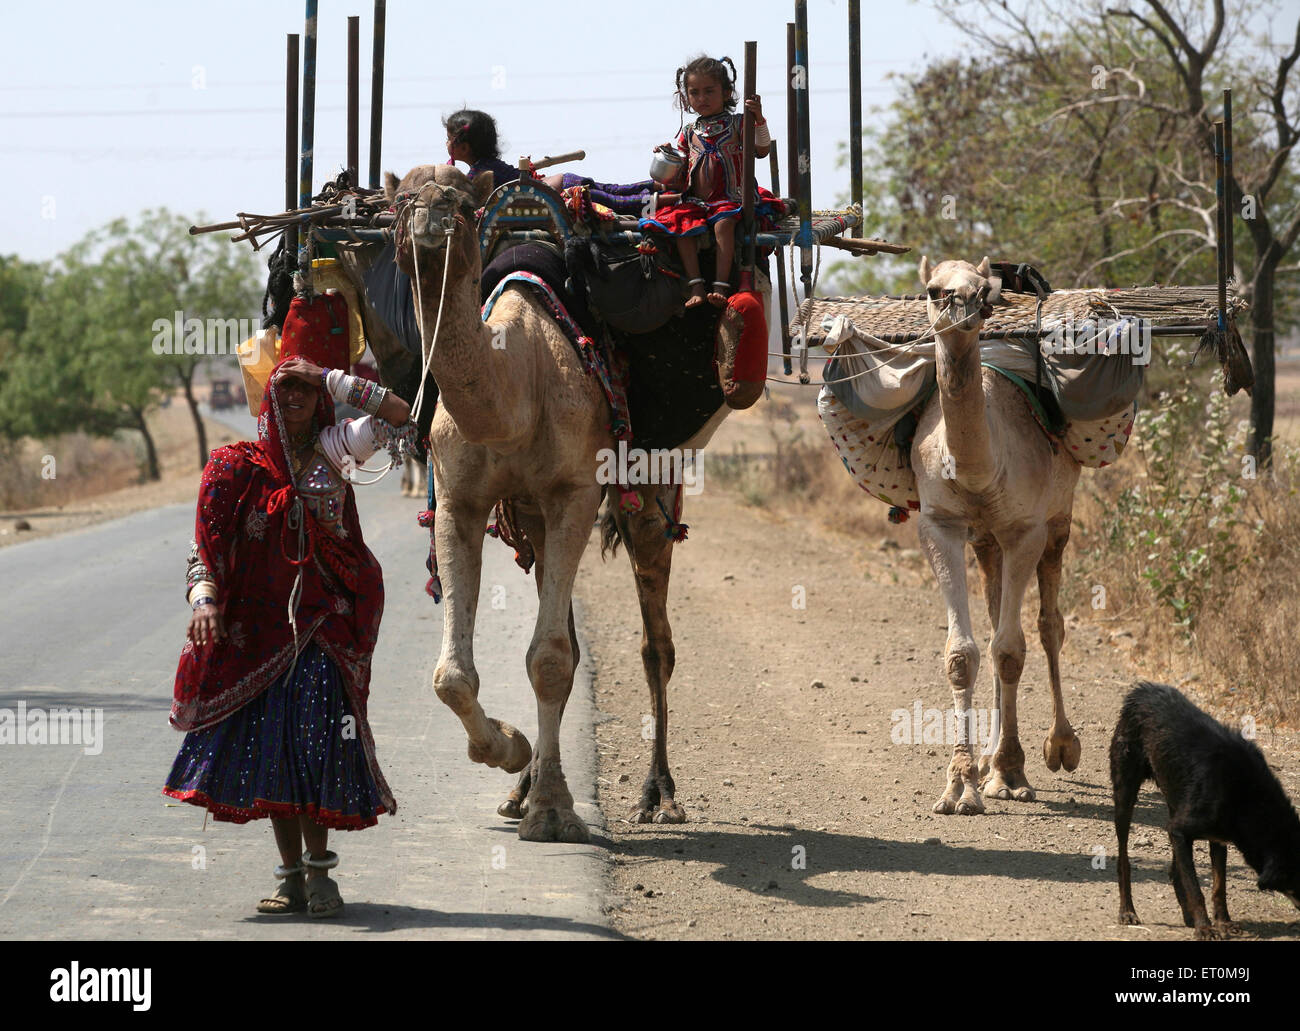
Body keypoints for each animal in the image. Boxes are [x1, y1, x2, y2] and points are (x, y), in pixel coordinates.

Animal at [339, 163, 749, 840]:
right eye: (403, 199)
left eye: (460, 201)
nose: (429, 218)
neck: (516, 384)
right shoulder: (460, 499)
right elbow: (454, 674)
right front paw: (511, 751)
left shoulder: (573, 494)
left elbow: (552, 660)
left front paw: (554, 810)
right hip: (530, 517)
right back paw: (520, 789)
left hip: (650, 489)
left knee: (655, 643)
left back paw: (658, 793)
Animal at [912, 255, 1082, 816]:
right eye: (932, 289)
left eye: (985, 288)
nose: (968, 305)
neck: (978, 469)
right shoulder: (939, 526)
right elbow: (963, 653)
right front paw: (960, 786)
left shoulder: (1025, 530)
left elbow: (1012, 649)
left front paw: (1011, 773)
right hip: (985, 542)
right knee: (991, 620)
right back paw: (986, 761)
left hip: (1059, 519)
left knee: (1049, 625)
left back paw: (1058, 746)